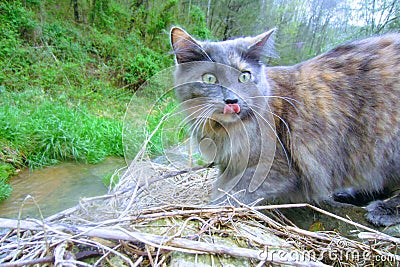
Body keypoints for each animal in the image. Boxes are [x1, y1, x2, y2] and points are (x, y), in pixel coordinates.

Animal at [170, 26, 400, 228]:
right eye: (209, 78)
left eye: (244, 76)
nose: (231, 100)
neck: (226, 131)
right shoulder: (230, 164)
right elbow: (222, 185)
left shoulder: (276, 166)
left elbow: (235, 191)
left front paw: (211, 207)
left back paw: (384, 210)